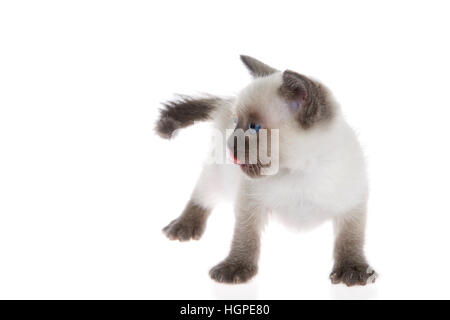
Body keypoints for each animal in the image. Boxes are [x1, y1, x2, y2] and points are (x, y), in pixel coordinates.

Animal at [155, 55, 376, 288]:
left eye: (254, 127)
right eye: (236, 122)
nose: (229, 145)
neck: (299, 172)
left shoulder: (352, 204)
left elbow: (350, 240)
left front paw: (353, 269)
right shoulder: (249, 202)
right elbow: (244, 237)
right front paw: (235, 267)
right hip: (218, 175)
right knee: (202, 194)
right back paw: (183, 227)